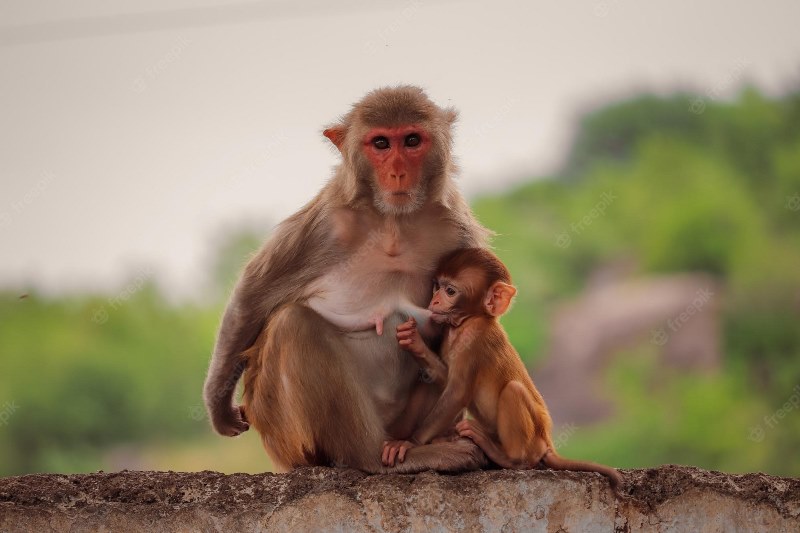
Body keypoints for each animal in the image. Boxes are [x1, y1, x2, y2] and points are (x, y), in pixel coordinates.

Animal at [203, 85, 490, 472]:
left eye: (412, 140)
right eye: (381, 143)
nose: (398, 172)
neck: (393, 220)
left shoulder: (457, 229)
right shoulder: (324, 223)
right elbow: (253, 295)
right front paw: (218, 407)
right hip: (288, 438)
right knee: (294, 324)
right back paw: (378, 458)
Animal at [384, 247, 620, 488]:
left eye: (450, 291)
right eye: (436, 286)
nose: (435, 301)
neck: (466, 322)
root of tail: (548, 443)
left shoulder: (474, 340)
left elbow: (458, 391)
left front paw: (409, 442)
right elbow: (446, 378)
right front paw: (414, 342)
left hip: (533, 440)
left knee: (513, 391)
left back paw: (507, 457)